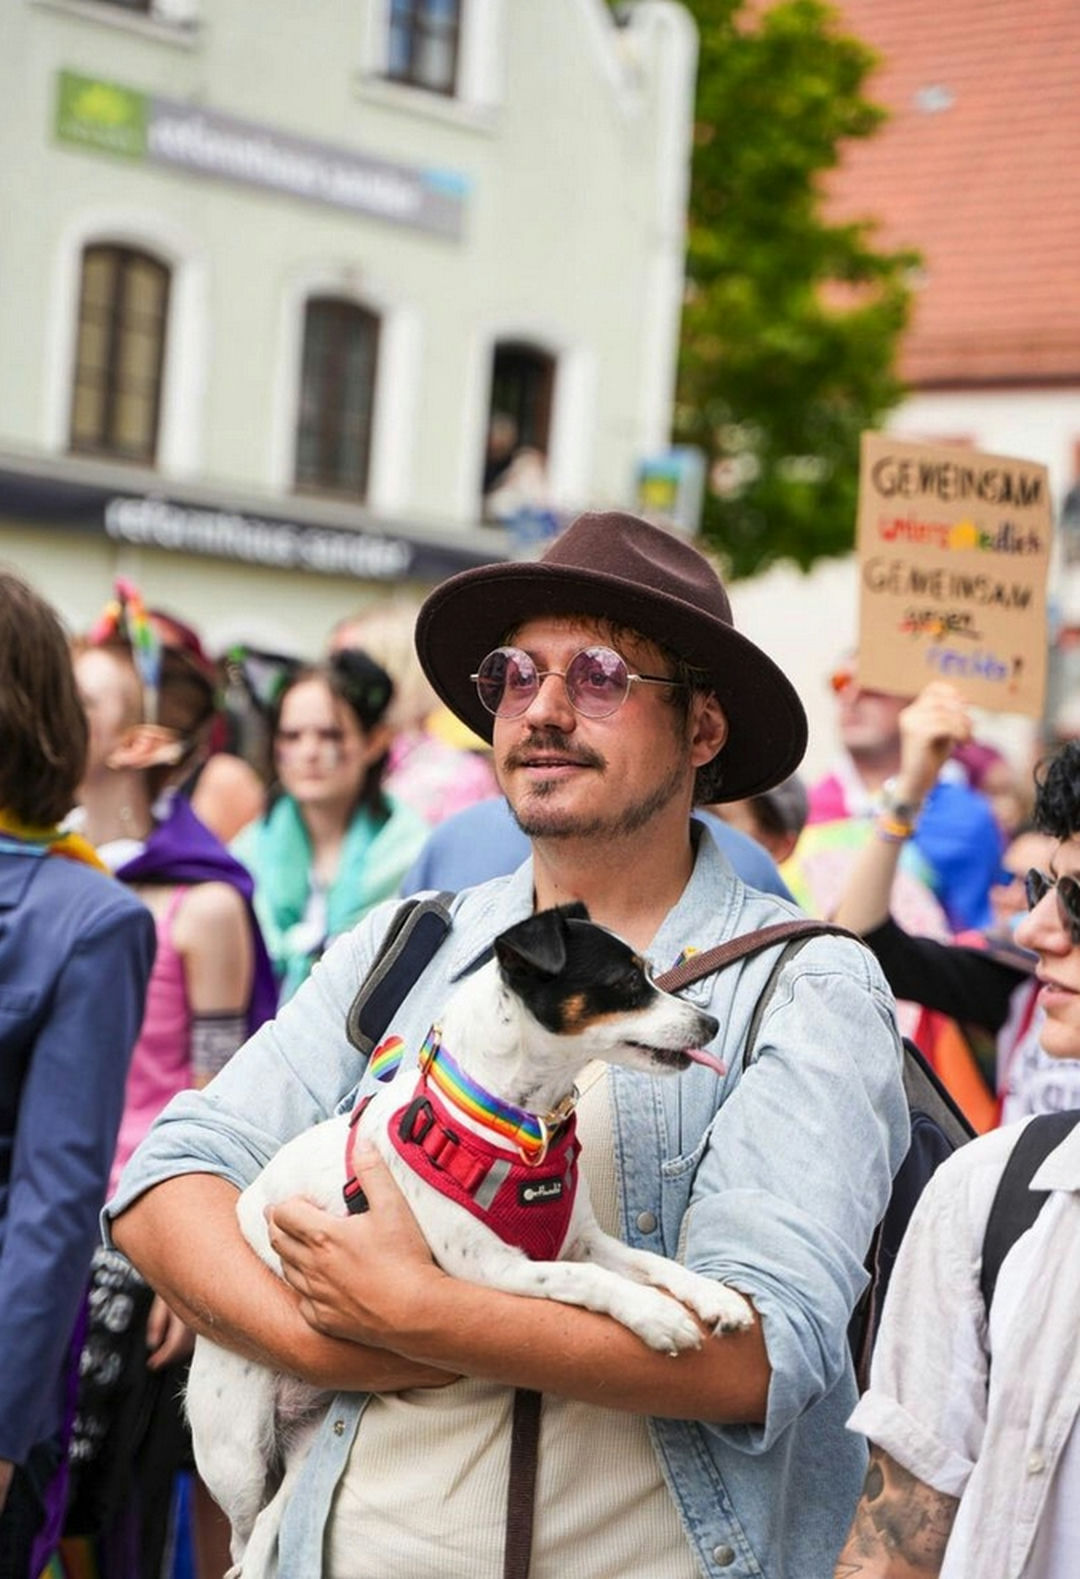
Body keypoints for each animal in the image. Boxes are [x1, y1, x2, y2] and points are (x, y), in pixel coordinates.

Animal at [186, 902, 754, 1575]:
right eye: (626, 982)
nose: (709, 1022)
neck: (519, 1128)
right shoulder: (496, 1268)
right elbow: (590, 1281)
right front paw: (656, 1316)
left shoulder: (583, 1240)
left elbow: (651, 1263)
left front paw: (713, 1296)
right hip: (238, 1449)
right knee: (242, 1534)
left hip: (304, 1440)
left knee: (273, 1520)